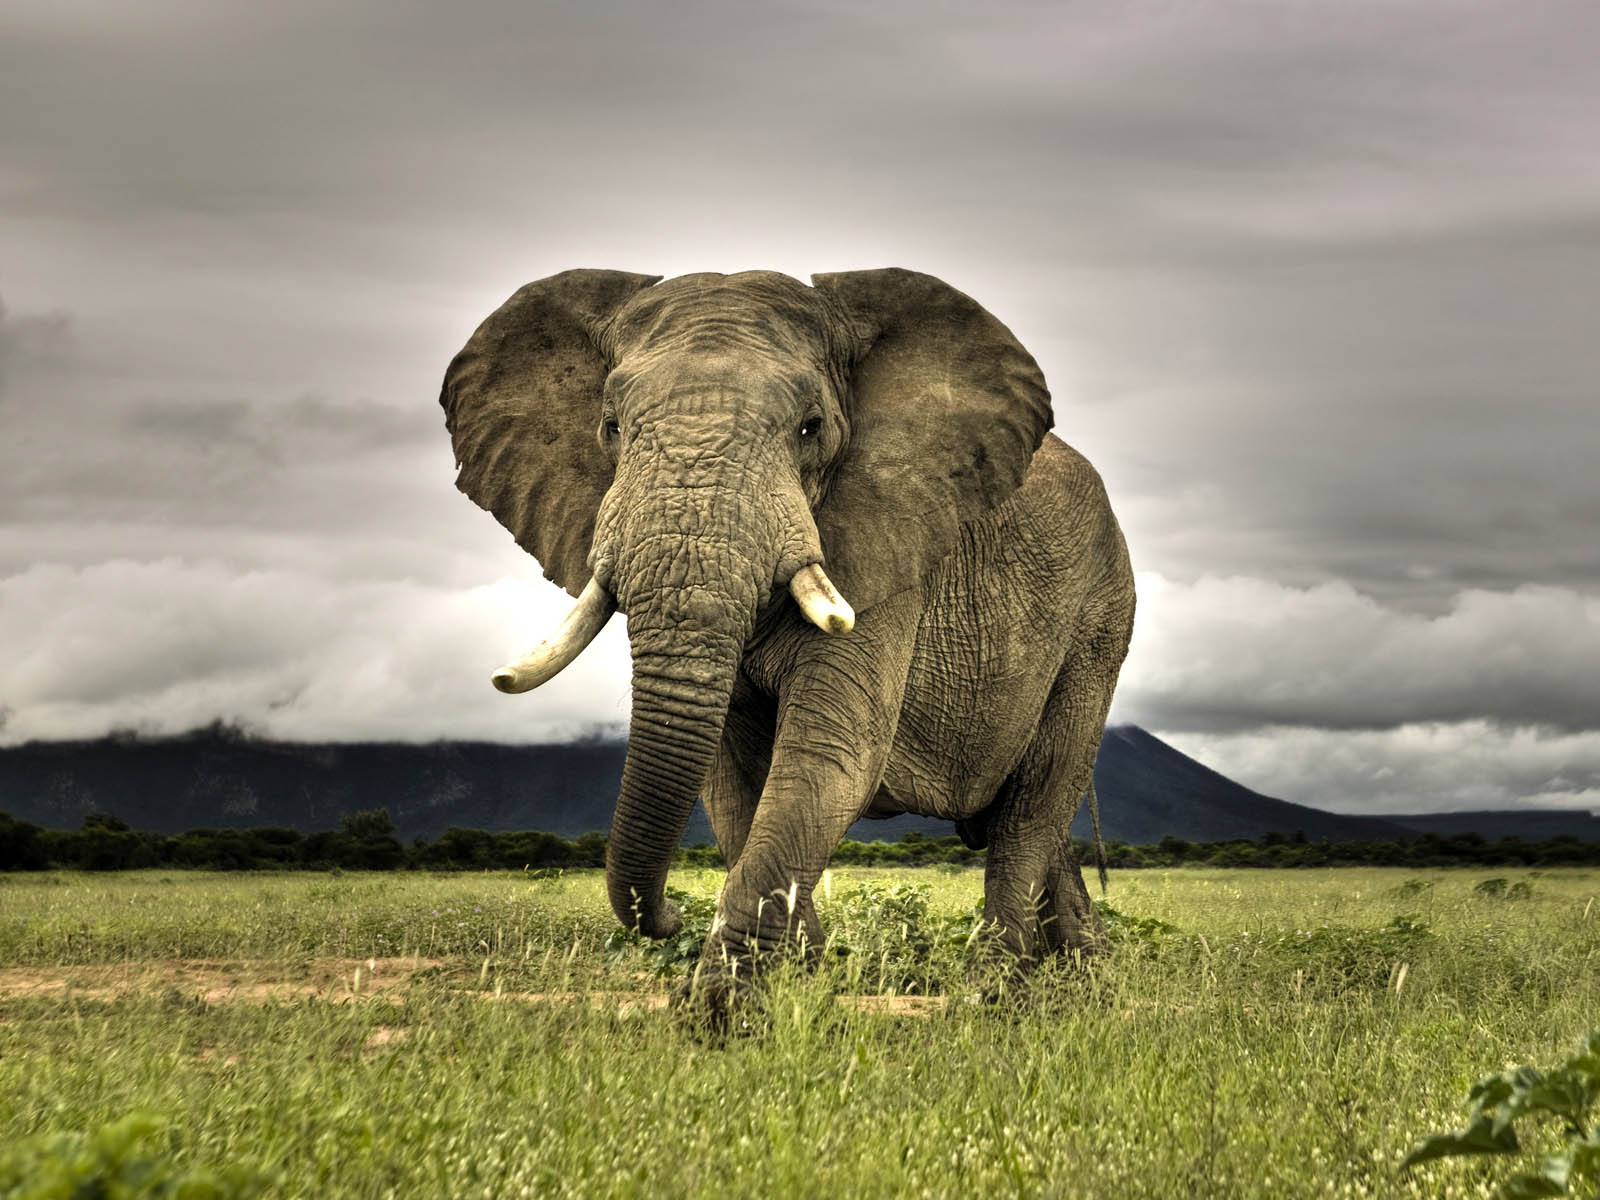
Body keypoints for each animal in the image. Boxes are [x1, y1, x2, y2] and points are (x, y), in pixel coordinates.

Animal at [440, 267, 1135, 1000]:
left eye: (811, 428)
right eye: (611, 427)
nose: (665, 916)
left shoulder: (887, 548)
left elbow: (829, 756)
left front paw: (721, 1012)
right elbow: (730, 782)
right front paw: (801, 986)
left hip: (1099, 619)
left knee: (1032, 808)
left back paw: (996, 998)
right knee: (1029, 822)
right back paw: (1083, 982)